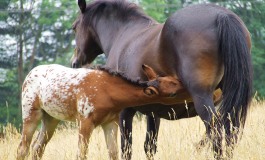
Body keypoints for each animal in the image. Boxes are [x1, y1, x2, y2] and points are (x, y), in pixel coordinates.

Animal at [16, 63, 182, 159]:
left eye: (171, 78)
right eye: (172, 93)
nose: (183, 84)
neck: (106, 91)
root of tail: (29, 74)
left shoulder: (110, 123)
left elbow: (114, 153)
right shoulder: (85, 121)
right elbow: (81, 154)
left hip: (51, 118)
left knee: (37, 148)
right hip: (31, 113)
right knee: (23, 148)